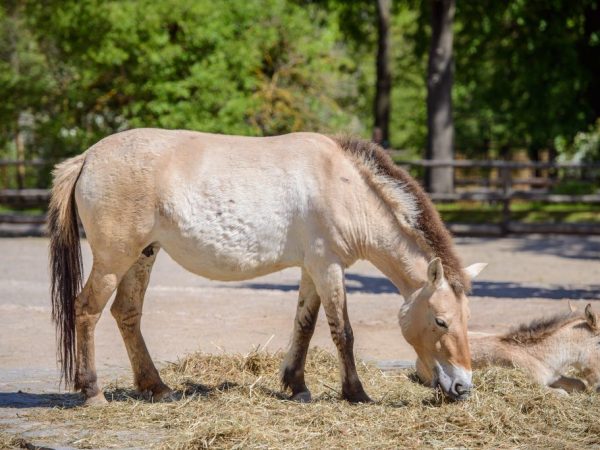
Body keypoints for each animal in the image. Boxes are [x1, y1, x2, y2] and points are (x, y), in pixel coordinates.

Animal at [49, 129, 486, 404]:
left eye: (468, 319)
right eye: (441, 321)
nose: (463, 387)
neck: (343, 185)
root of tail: (87, 158)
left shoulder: (313, 269)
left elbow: (305, 325)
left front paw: (296, 385)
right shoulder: (328, 267)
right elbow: (342, 332)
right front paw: (356, 393)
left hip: (143, 255)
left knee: (127, 313)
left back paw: (156, 387)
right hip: (113, 260)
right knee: (86, 311)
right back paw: (93, 392)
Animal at [418, 302, 600, 394]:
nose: (598, 386)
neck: (537, 355)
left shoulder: (554, 377)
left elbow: (579, 384)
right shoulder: (536, 384)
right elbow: (562, 393)